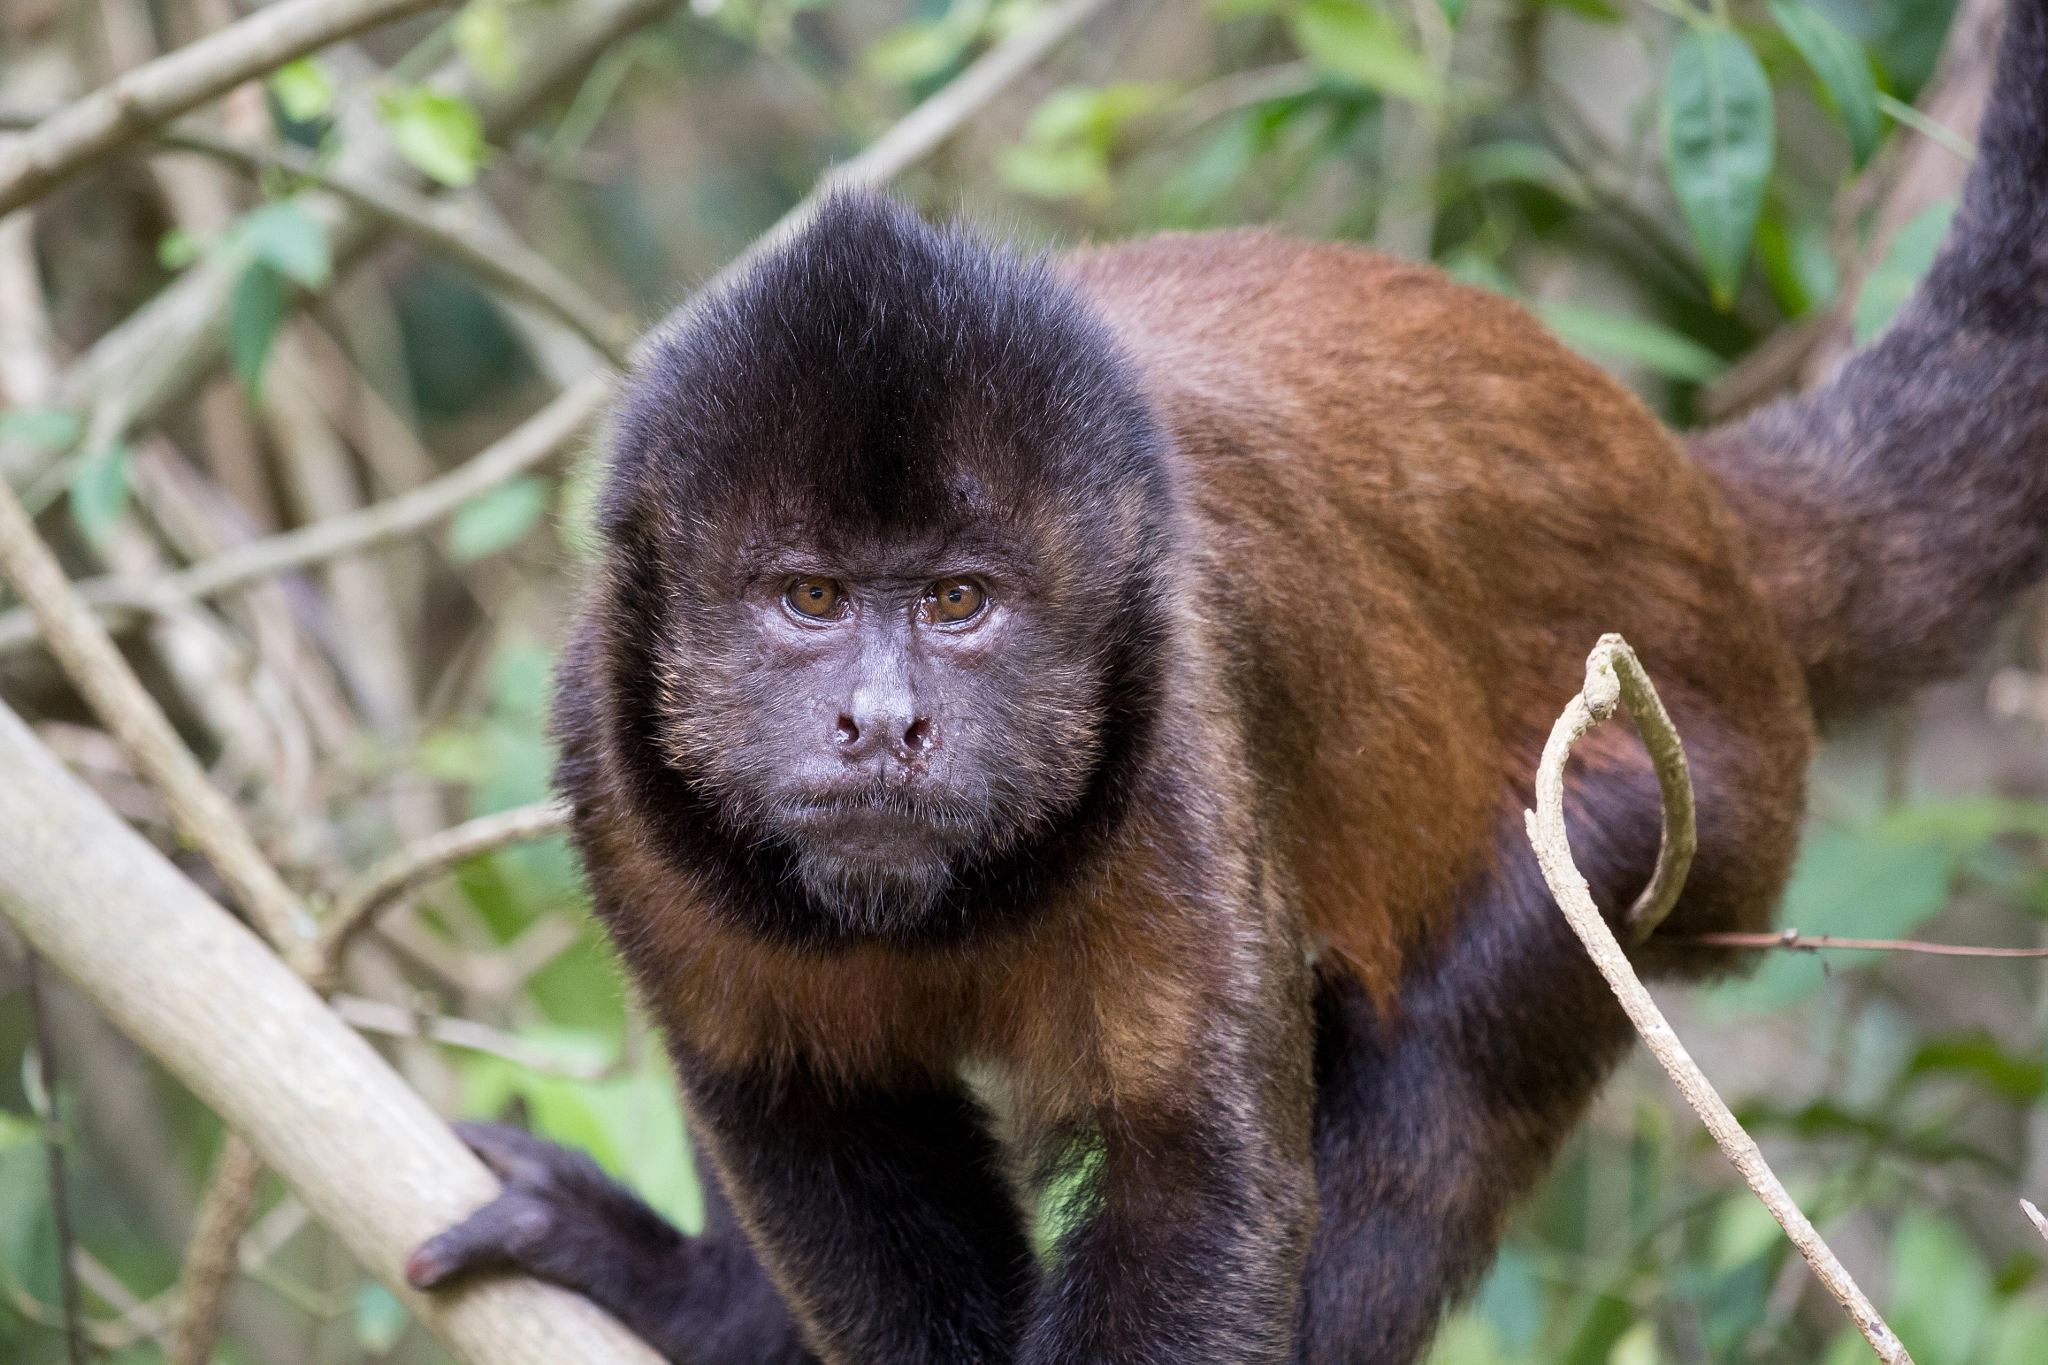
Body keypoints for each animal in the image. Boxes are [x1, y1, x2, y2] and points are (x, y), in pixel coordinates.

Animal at [402, 2, 2048, 1359]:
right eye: (808, 599)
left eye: (957, 603)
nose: (882, 720)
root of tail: (1690, 506)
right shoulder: (612, 766)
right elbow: (800, 1122)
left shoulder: (1178, 752)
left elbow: (1195, 1189)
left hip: (1696, 792)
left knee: (1472, 1030)